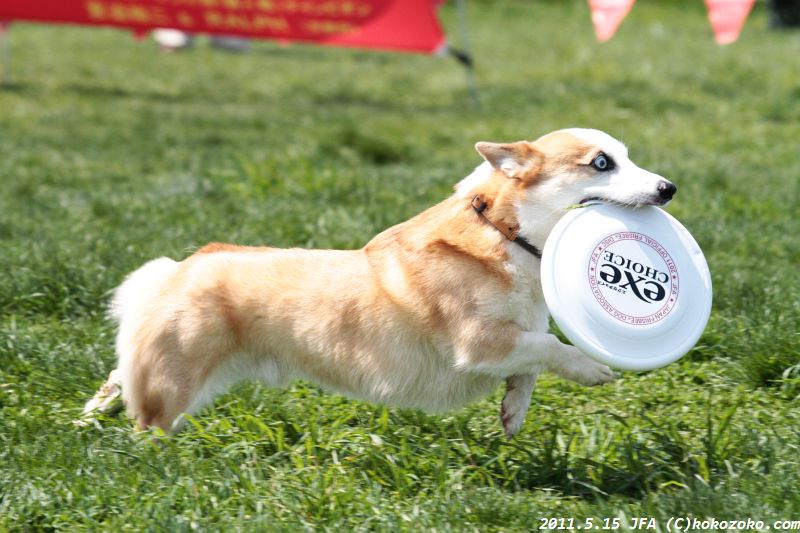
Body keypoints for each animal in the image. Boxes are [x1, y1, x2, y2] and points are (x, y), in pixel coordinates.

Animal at [83, 129, 676, 436]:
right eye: (601, 163)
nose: (669, 188)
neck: (506, 235)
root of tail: (178, 269)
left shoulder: (514, 341)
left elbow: (529, 369)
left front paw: (512, 417)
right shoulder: (480, 343)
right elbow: (553, 346)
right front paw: (594, 371)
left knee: (118, 378)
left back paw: (87, 419)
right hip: (177, 379)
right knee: (147, 418)